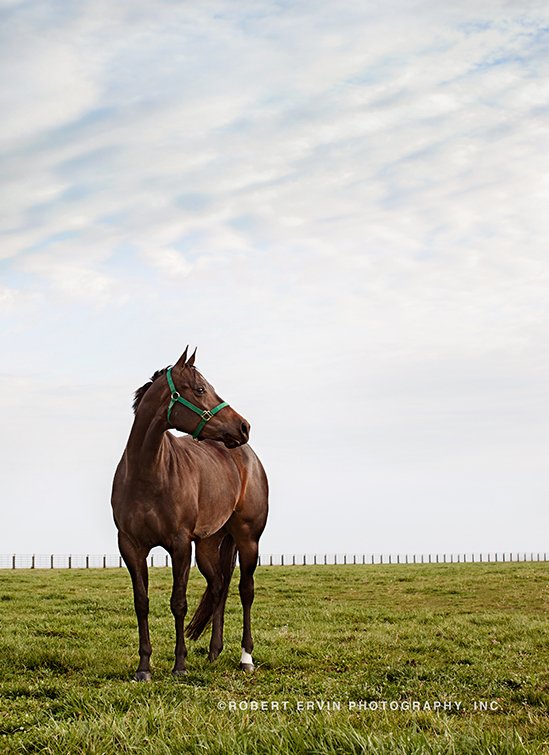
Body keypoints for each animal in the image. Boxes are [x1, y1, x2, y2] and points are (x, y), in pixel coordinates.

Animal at [111, 347, 269, 680]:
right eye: (199, 389)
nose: (244, 426)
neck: (147, 473)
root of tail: (247, 455)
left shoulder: (179, 545)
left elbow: (178, 603)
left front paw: (179, 665)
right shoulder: (130, 546)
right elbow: (141, 602)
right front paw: (144, 667)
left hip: (248, 539)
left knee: (245, 590)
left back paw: (246, 657)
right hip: (209, 545)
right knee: (219, 586)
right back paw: (213, 651)